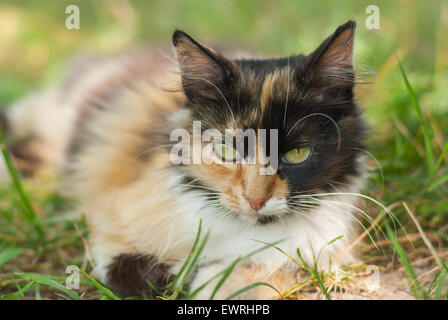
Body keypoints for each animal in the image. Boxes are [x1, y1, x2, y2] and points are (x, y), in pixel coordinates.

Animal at [0, 20, 368, 300]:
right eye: (228, 150)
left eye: (297, 154)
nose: (255, 200)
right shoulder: (113, 224)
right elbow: (146, 273)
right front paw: (191, 273)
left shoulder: (315, 254)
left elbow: (260, 277)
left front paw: (223, 280)